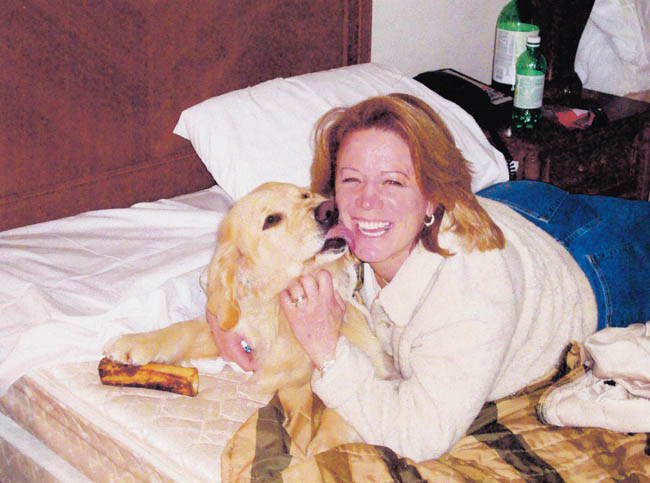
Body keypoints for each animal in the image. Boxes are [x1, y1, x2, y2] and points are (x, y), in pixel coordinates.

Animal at [103, 182, 394, 394]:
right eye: (272, 219)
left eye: (305, 195)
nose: (330, 209)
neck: (276, 302)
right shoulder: (237, 331)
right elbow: (183, 328)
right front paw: (135, 343)